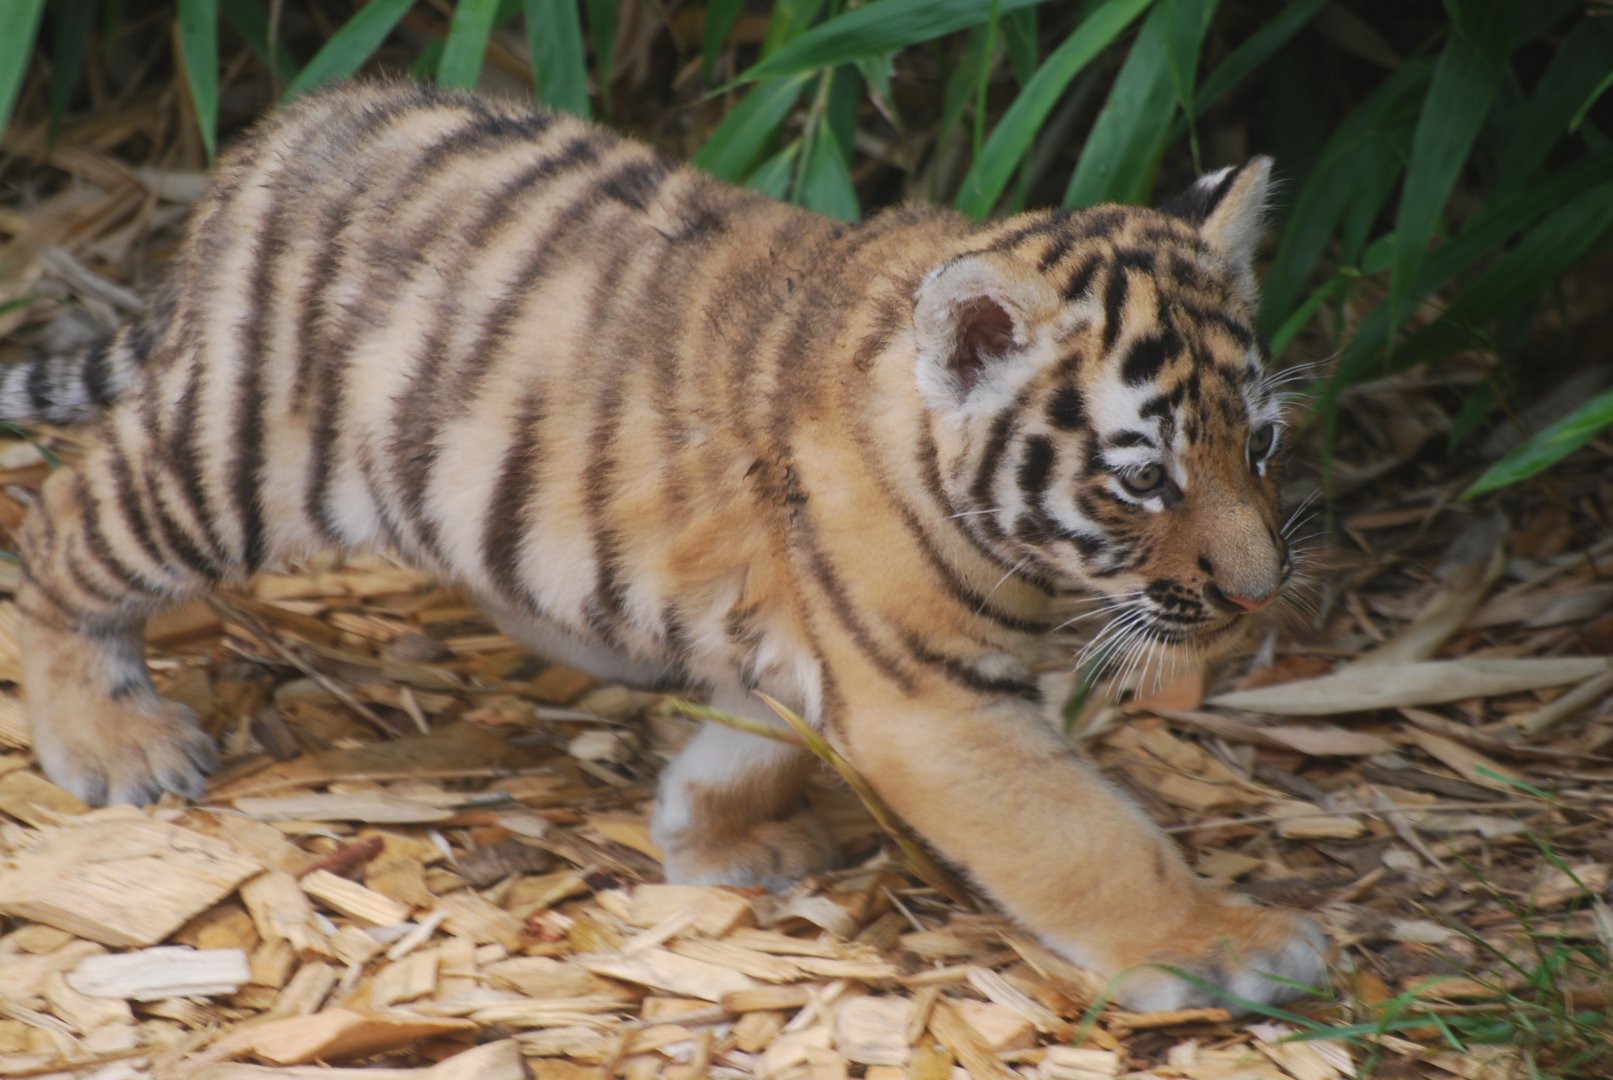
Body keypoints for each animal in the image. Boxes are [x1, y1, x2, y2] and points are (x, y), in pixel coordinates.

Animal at [1, 81, 1325, 1011]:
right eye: (1143, 478)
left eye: (1258, 446)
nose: (1259, 597)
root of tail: (275, 139)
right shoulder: (939, 708)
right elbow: (1091, 840)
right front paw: (1234, 947)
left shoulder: (811, 649)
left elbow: (754, 741)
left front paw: (714, 835)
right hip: (232, 462)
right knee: (59, 530)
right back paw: (111, 743)